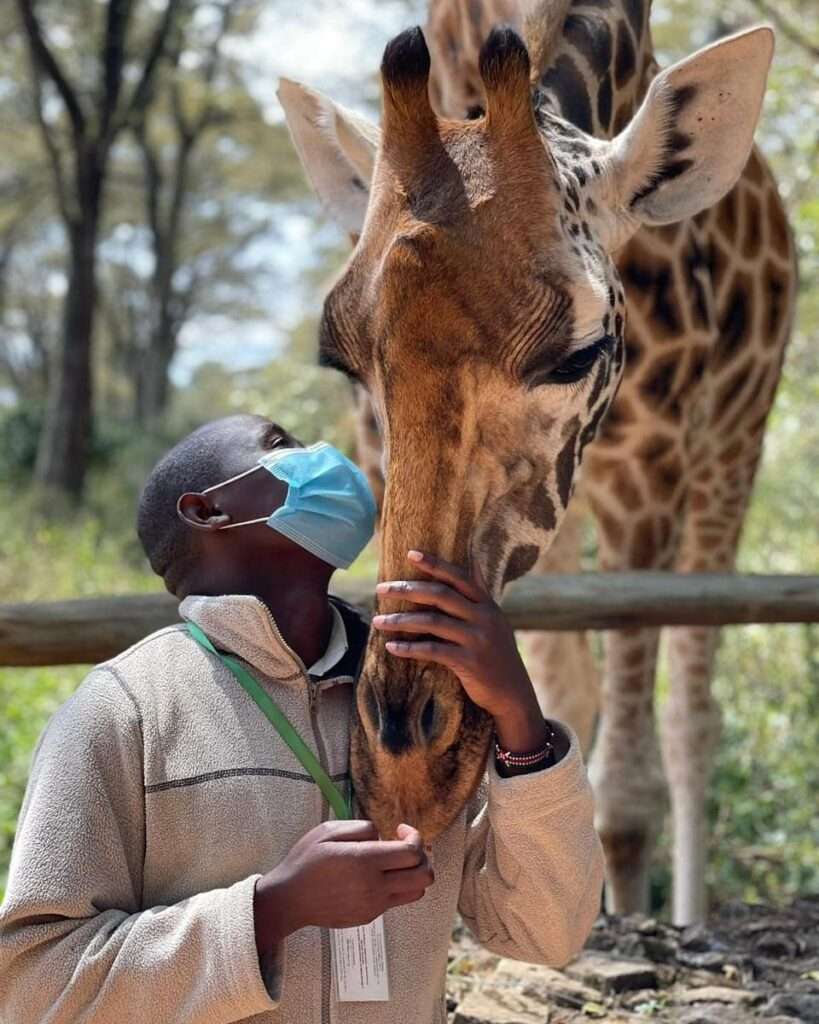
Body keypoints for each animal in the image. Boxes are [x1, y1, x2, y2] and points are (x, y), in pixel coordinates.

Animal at [278, 0, 798, 929]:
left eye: (576, 354)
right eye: (342, 358)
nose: (408, 773)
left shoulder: (651, 468)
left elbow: (628, 787)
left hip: (729, 450)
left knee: (689, 711)